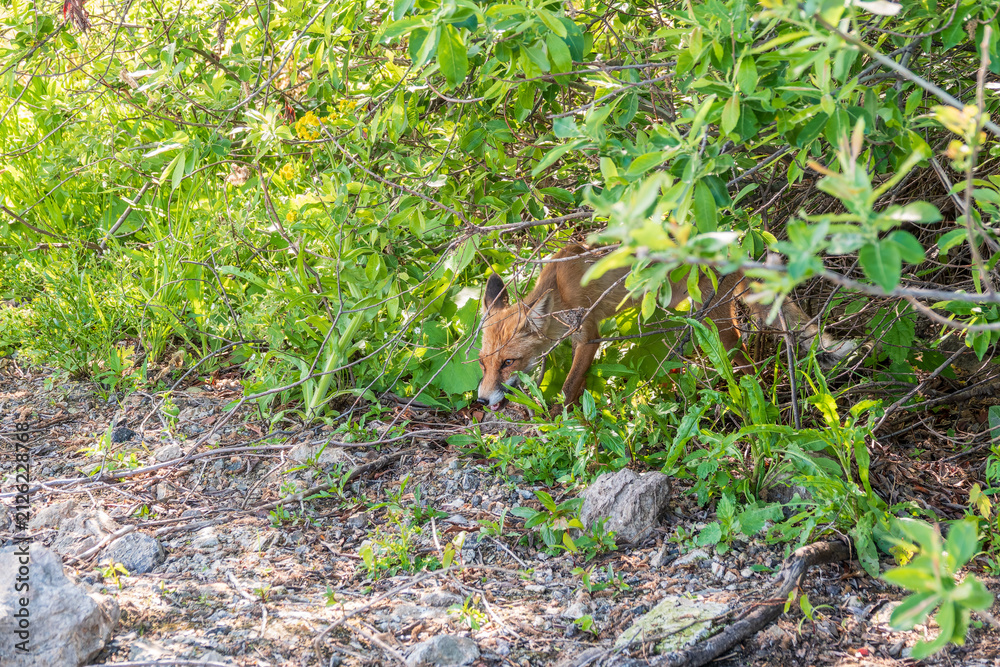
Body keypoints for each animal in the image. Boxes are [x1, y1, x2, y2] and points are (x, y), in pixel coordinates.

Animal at [476, 244, 857, 410]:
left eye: (507, 361)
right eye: (483, 364)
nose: (480, 400)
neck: (559, 287)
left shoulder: (590, 336)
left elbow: (569, 387)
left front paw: (561, 422)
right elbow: (570, 385)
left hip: (719, 329)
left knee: (746, 362)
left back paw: (754, 401)